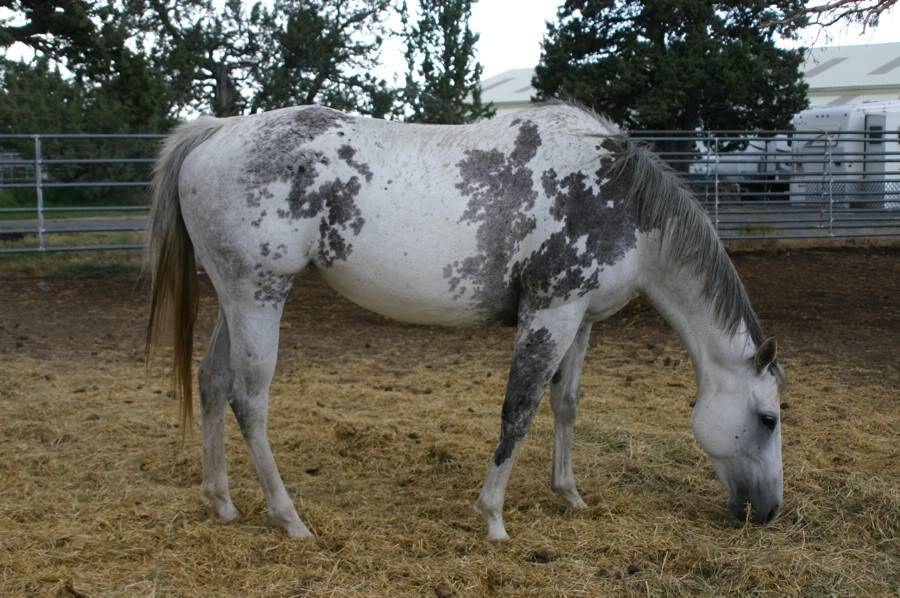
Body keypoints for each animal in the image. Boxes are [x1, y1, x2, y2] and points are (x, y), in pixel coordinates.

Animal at [145, 103, 784, 540]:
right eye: (769, 419)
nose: (770, 510)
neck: (616, 197)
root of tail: (215, 131)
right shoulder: (549, 312)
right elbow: (518, 411)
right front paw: (493, 518)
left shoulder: (580, 319)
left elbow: (566, 405)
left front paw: (570, 495)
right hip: (258, 297)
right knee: (249, 401)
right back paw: (290, 518)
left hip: (235, 300)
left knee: (211, 383)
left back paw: (222, 502)